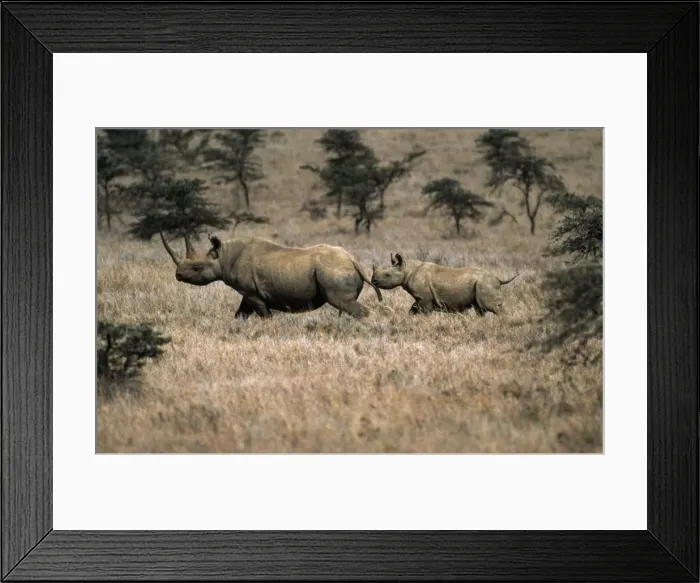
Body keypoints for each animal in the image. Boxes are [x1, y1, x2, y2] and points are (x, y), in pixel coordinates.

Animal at [160, 232, 382, 319]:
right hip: (336, 269)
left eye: (196, 267)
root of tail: (353, 260)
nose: (178, 275)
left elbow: (264, 314)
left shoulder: (252, 293)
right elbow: (240, 313)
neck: (223, 257)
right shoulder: (248, 293)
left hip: (333, 270)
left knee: (343, 303)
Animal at [371, 253, 518, 315]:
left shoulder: (424, 298)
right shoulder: (421, 298)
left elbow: (424, 310)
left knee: (491, 307)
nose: (373, 281)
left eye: (387, 275)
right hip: (482, 284)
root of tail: (498, 279)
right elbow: (413, 309)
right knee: (480, 308)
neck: (407, 269)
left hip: (485, 283)